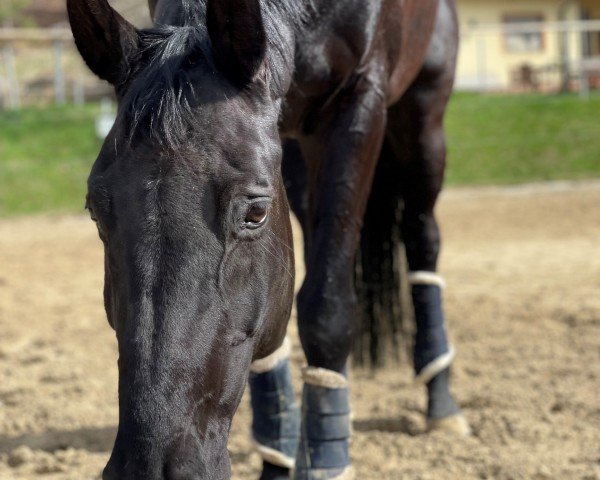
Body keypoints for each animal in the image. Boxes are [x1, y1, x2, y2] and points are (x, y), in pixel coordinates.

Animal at [69, 0, 468, 478]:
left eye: (255, 212)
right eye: (95, 209)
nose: (149, 466)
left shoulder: (361, 101)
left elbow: (326, 308)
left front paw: (327, 462)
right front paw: (279, 454)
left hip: (423, 117)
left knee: (422, 235)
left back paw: (440, 401)